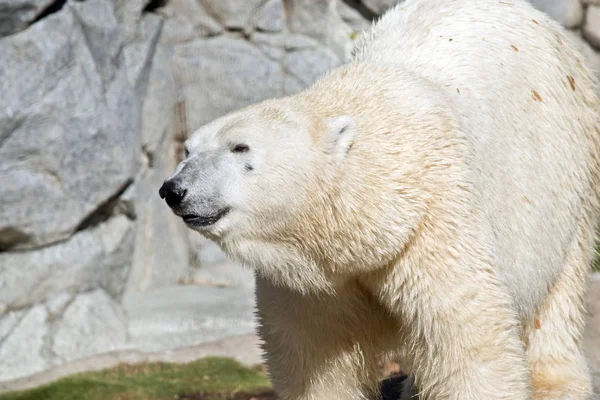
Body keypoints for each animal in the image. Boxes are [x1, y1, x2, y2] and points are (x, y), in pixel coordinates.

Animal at [159, 0, 600, 398]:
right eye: (189, 150)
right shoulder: (314, 281)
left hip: (570, 173)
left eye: (240, 147)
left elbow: (468, 335)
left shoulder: (432, 221)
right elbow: (313, 356)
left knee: (557, 295)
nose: (173, 190)